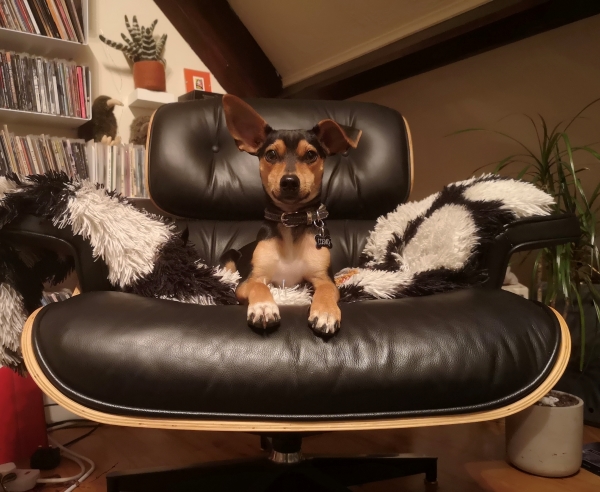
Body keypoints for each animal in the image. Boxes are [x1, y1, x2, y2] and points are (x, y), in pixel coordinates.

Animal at [221, 94, 358, 336]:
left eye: (311, 155)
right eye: (271, 154)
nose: (290, 182)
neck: (291, 221)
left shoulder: (324, 279)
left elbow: (325, 291)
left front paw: (325, 312)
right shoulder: (250, 280)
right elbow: (259, 286)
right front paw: (264, 307)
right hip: (229, 257)